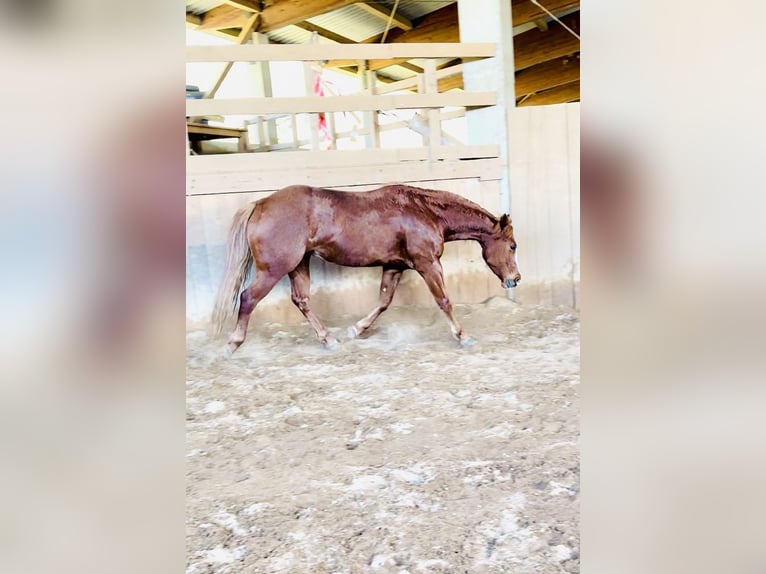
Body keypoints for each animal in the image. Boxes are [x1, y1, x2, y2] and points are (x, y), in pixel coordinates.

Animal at [210, 184, 520, 356]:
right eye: (513, 246)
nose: (515, 280)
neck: (424, 210)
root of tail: (261, 204)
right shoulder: (427, 263)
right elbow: (443, 300)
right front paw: (463, 336)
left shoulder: (394, 266)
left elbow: (383, 301)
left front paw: (356, 329)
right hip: (274, 269)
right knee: (248, 298)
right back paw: (233, 344)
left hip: (299, 264)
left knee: (301, 300)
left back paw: (329, 340)